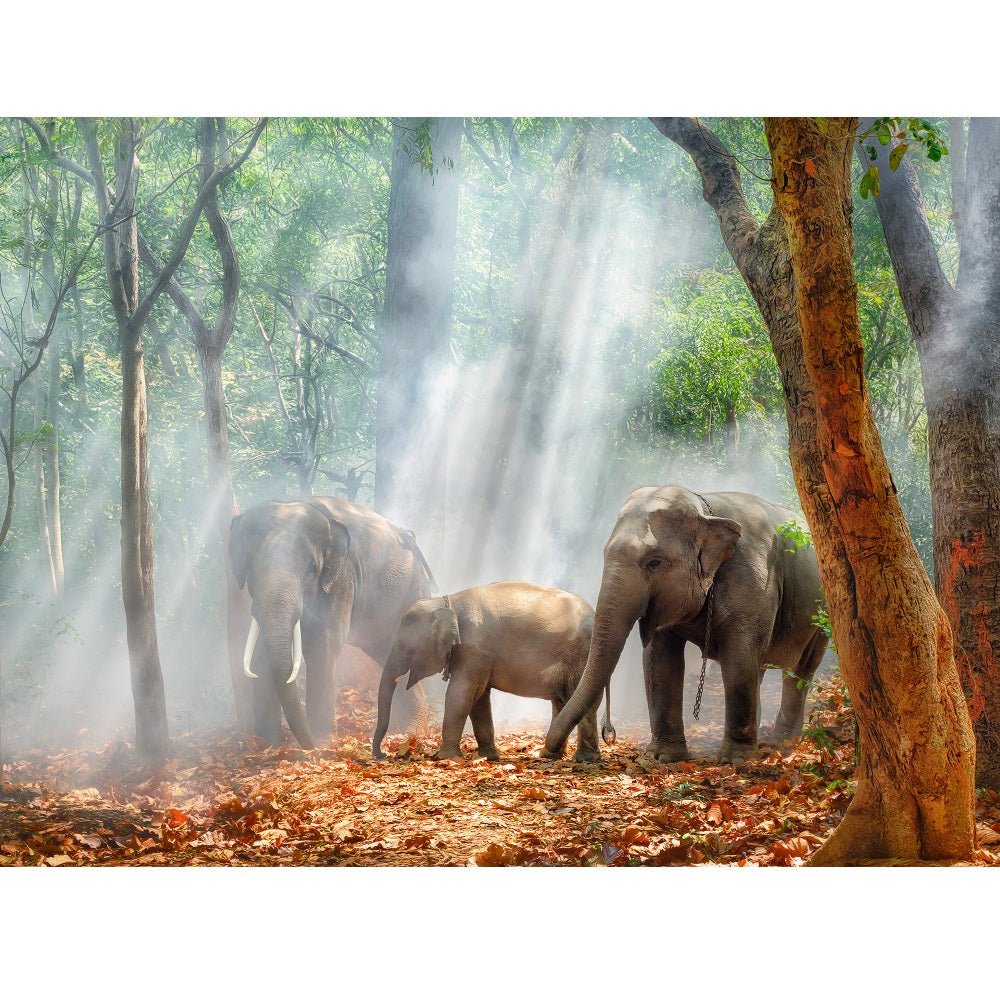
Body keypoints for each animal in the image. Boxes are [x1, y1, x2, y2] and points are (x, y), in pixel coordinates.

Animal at [229, 496, 436, 750]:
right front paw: (265, 742)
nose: (307, 746)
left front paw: (322, 742)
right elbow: (260, 652)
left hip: (414, 590)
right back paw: (404, 732)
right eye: (249, 567)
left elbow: (322, 646)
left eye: (311, 569)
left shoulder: (340, 581)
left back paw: (412, 733)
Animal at [372, 581, 615, 763]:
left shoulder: (475, 649)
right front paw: (487, 757)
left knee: (580, 700)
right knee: (563, 701)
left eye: (406, 646)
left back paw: (583, 760)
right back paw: (550, 755)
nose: (382, 754)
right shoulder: (480, 656)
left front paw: (445, 758)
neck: (447, 601)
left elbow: (461, 694)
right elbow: (478, 698)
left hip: (581, 656)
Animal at [544, 487, 828, 765]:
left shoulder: (752, 581)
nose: (549, 752)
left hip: (821, 616)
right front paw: (662, 757)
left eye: (654, 563)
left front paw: (736, 761)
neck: (705, 510)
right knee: (758, 669)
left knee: (799, 671)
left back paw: (780, 744)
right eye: (604, 554)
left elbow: (738, 659)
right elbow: (661, 660)